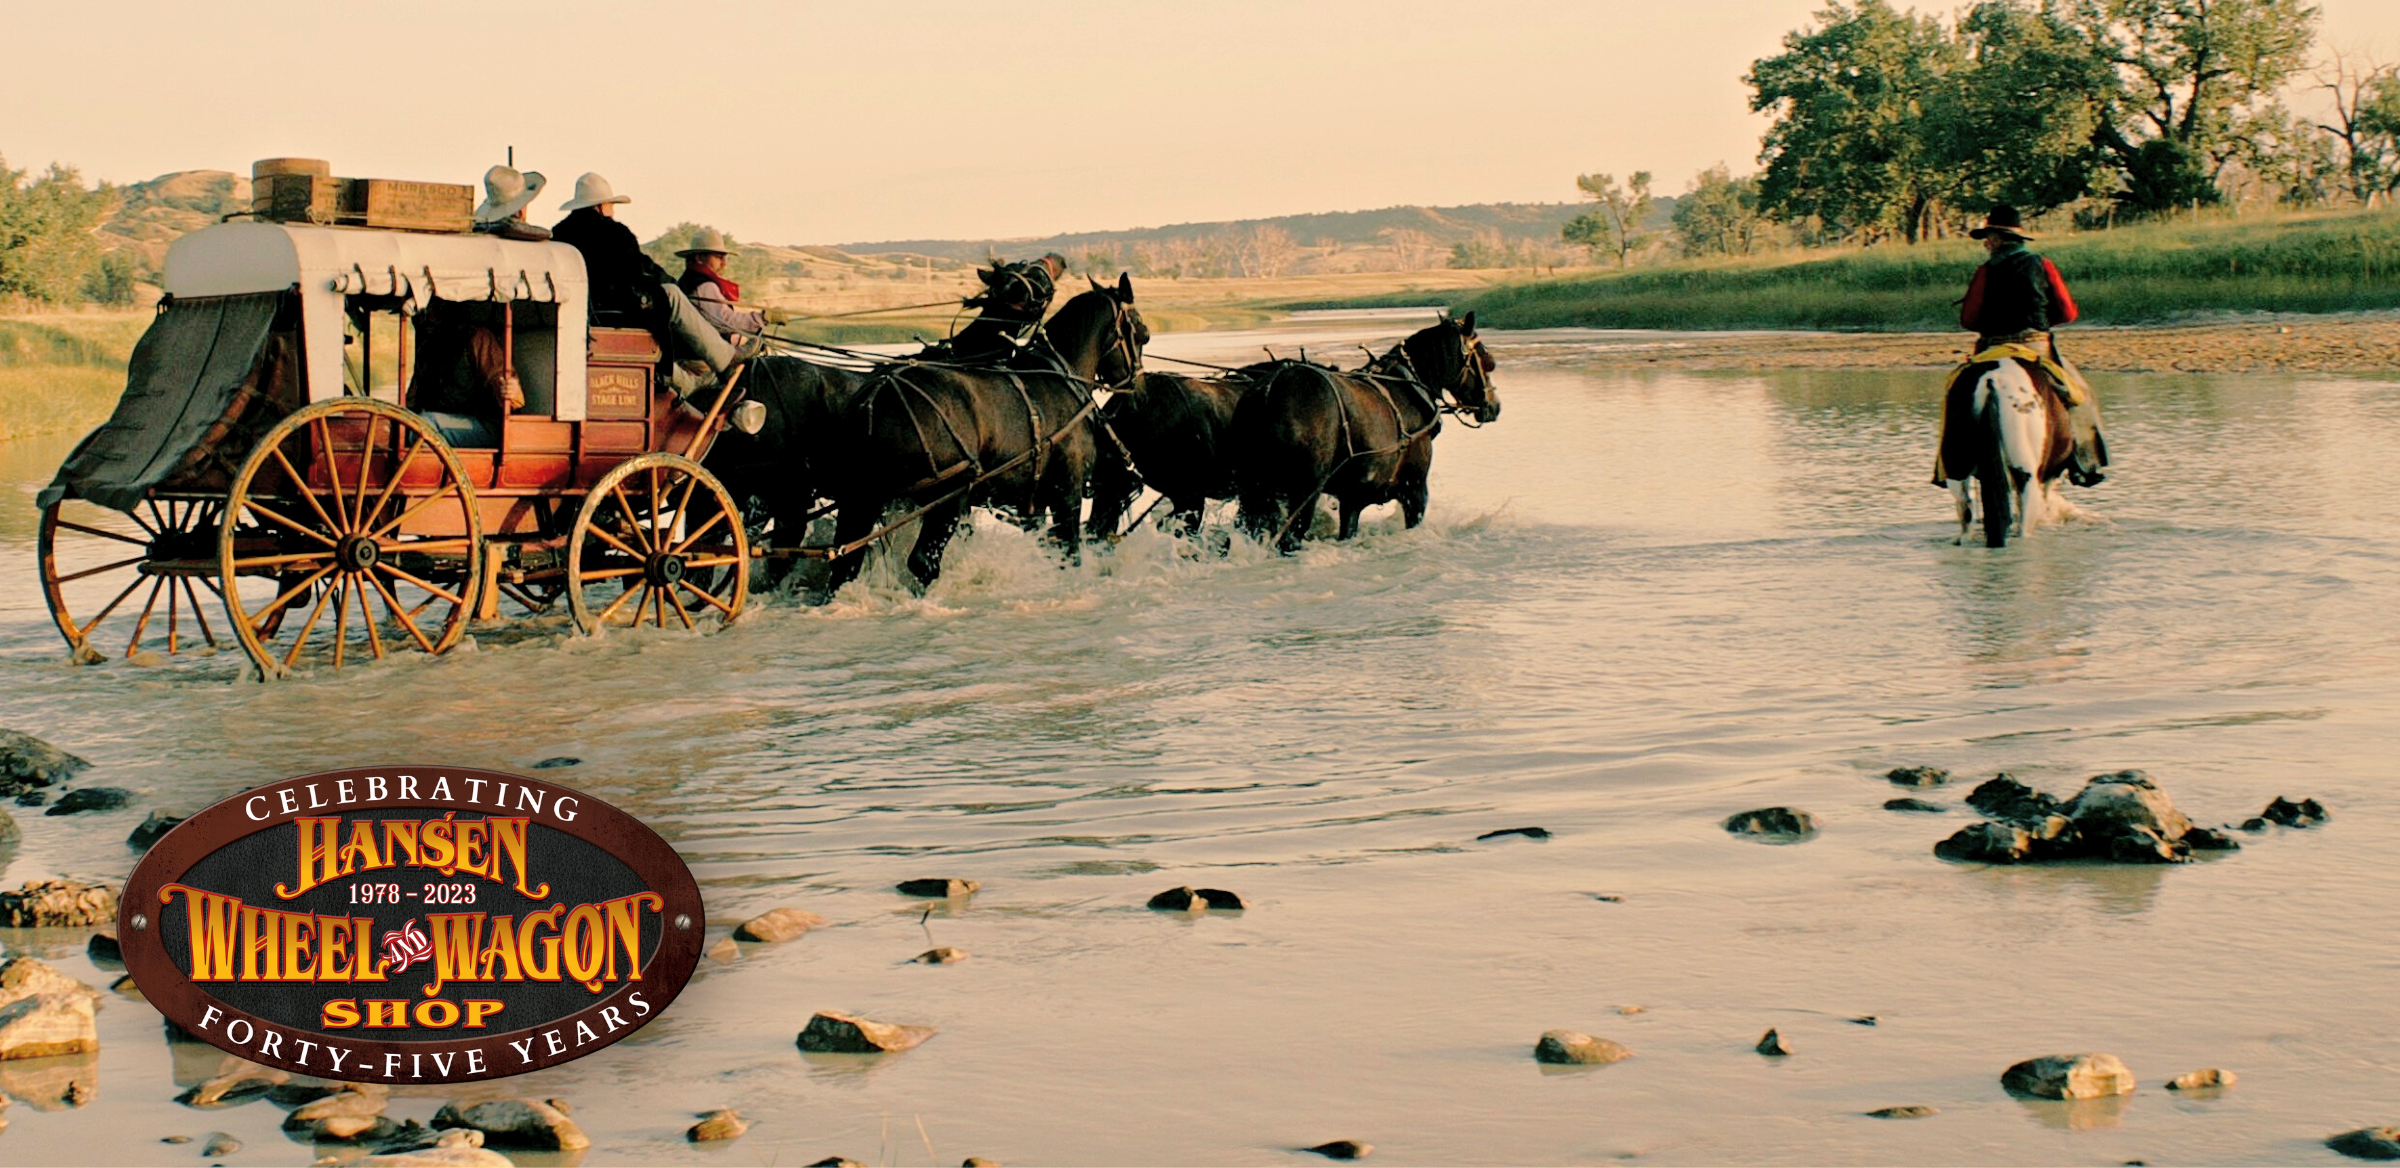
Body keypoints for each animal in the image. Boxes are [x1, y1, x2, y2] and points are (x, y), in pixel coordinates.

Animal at [820, 277, 1147, 594]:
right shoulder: (1067, 491)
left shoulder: (1034, 502)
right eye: (1142, 335)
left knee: (846, 563)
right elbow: (1070, 552)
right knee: (923, 562)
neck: (1061, 377)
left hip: (862, 496)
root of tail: (877, 395)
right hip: (948, 496)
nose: (1138, 391)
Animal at [1238, 314, 1497, 556]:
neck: (1408, 387)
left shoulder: (1352, 499)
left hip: (1254, 493)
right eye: (1487, 361)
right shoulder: (1414, 489)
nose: (1495, 406)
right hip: (1304, 493)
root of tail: (1268, 390)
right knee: (1290, 538)